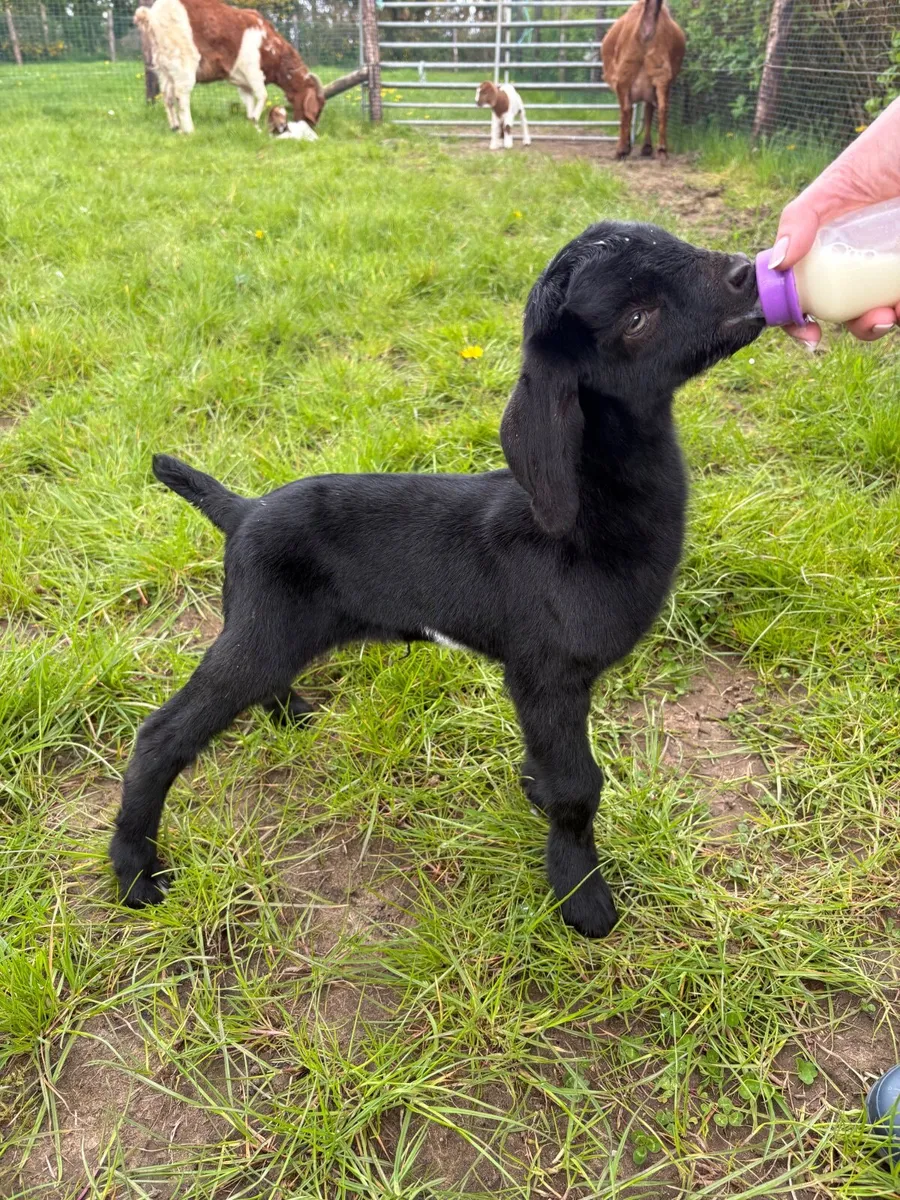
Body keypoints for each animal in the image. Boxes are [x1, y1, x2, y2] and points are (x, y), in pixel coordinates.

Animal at [109, 223, 762, 938]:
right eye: (638, 317)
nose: (748, 272)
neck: (582, 517)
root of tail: (242, 512)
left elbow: (554, 771)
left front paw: (536, 794)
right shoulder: (546, 672)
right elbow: (578, 788)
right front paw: (582, 897)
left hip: (270, 627)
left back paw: (291, 715)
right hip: (260, 626)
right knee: (161, 736)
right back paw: (135, 873)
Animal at [134, 0, 324, 135]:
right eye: (318, 105)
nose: (311, 125)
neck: (269, 45)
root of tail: (152, 14)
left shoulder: (243, 83)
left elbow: (249, 102)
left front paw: (252, 124)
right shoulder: (253, 70)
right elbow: (263, 95)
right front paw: (256, 119)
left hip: (164, 69)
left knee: (167, 96)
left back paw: (174, 127)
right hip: (184, 63)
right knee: (181, 96)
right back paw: (189, 130)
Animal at [601, 0, 685, 159]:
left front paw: (629, 146)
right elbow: (648, 112)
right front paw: (646, 147)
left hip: (624, 72)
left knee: (626, 109)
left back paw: (621, 150)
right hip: (661, 72)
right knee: (663, 108)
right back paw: (661, 149)